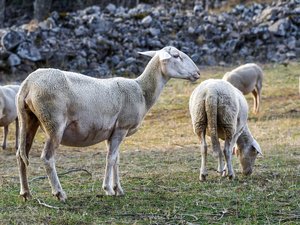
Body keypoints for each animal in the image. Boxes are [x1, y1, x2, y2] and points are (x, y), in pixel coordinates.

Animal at [15, 46, 200, 202]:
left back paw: (26, 193)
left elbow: (116, 158)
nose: (198, 73)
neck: (142, 91)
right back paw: (59, 193)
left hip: (28, 119)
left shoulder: (112, 131)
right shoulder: (122, 127)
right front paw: (108, 189)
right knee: (47, 157)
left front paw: (118, 188)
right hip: (54, 122)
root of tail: (28, 84)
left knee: (21, 155)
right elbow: (111, 158)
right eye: (176, 56)